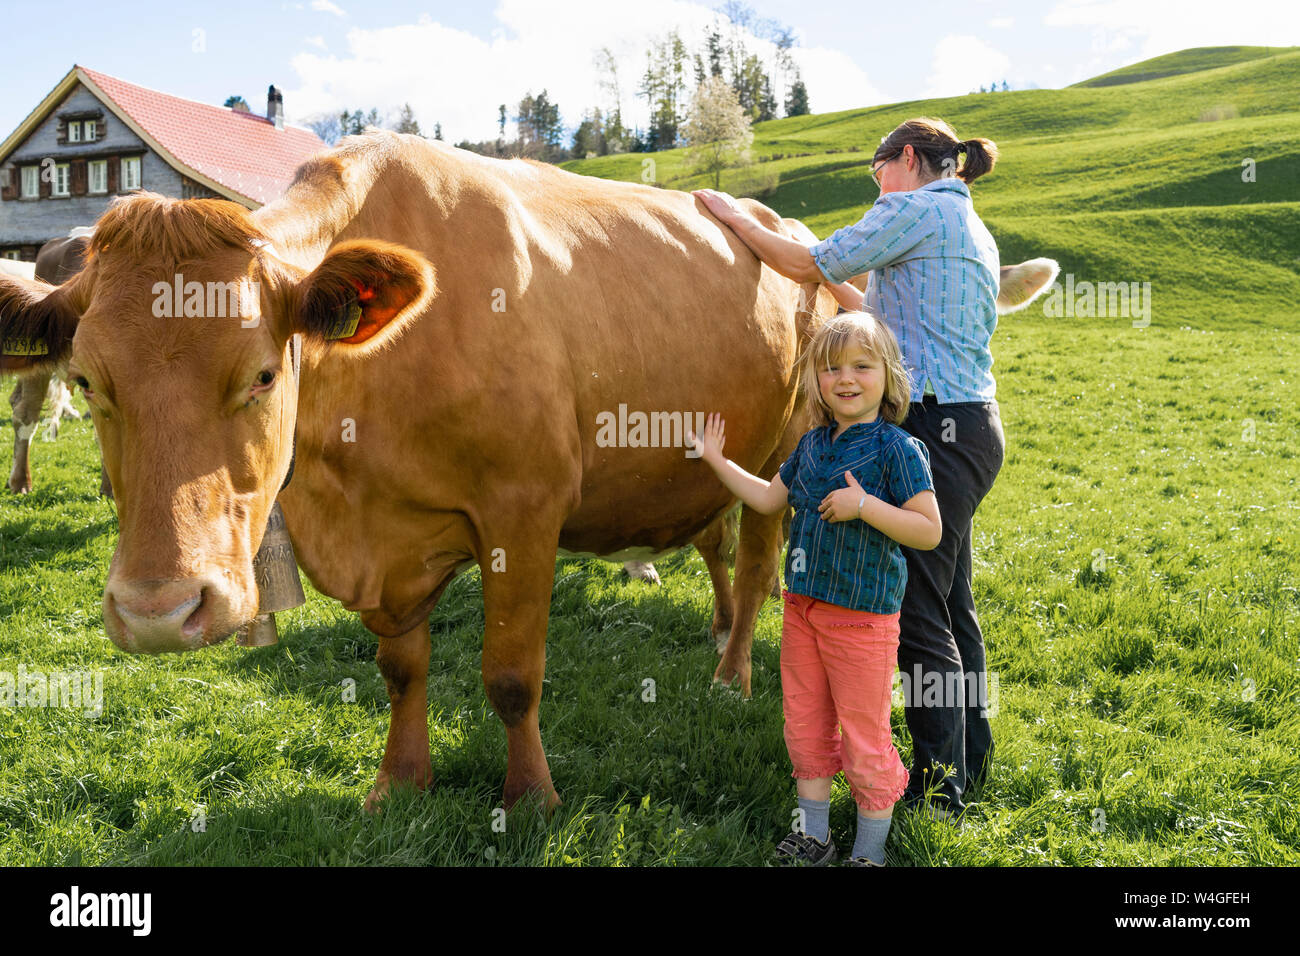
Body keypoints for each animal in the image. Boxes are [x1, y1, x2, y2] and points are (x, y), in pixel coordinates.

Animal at [0, 131, 1056, 813]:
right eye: (87, 381)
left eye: (261, 373)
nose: (158, 612)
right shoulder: (390, 539)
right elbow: (401, 667)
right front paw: (400, 781)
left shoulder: (524, 512)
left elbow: (511, 676)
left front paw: (534, 796)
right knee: (719, 551)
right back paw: (719, 631)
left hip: (786, 451)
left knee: (759, 567)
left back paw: (732, 673)